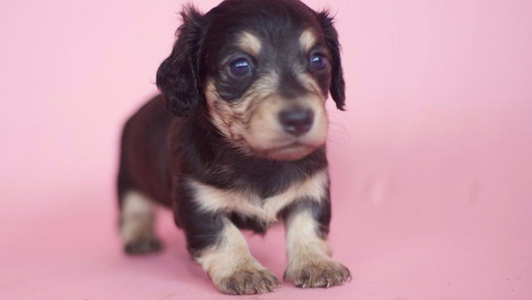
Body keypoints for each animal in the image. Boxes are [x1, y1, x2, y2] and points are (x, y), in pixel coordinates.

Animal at [116, 0, 350, 296]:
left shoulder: (312, 189)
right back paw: (140, 235)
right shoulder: (197, 201)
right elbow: (224, 236)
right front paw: (243, 270)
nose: (299, 119)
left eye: (318, 60)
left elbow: (307, 227)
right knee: (134, 209)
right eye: (239, 66)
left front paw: (315, 263)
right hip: (127, 178)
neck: (258, 161)